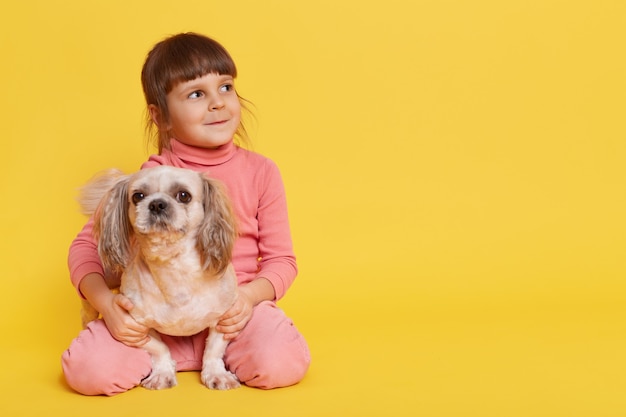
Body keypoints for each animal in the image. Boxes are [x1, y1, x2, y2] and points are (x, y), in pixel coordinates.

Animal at [76, 166, 241, 390]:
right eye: (138, 196)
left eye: (184, 195)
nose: (156, 204)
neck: (174, 267)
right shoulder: (136, 325)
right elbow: (159, 348)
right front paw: (162, 374)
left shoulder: (223, 319)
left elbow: (213, 351)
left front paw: (217, 374)